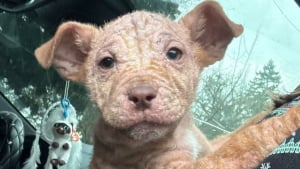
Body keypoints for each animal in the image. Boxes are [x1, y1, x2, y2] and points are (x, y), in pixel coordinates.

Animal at [32, 0, 300, 168]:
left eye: (173, 53)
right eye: (106, 62)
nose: (141, 95)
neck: (179, 131)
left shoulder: (208, 146)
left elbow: (239, 131)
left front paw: (283, 100)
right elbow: (245, 141)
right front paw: (292, 115)